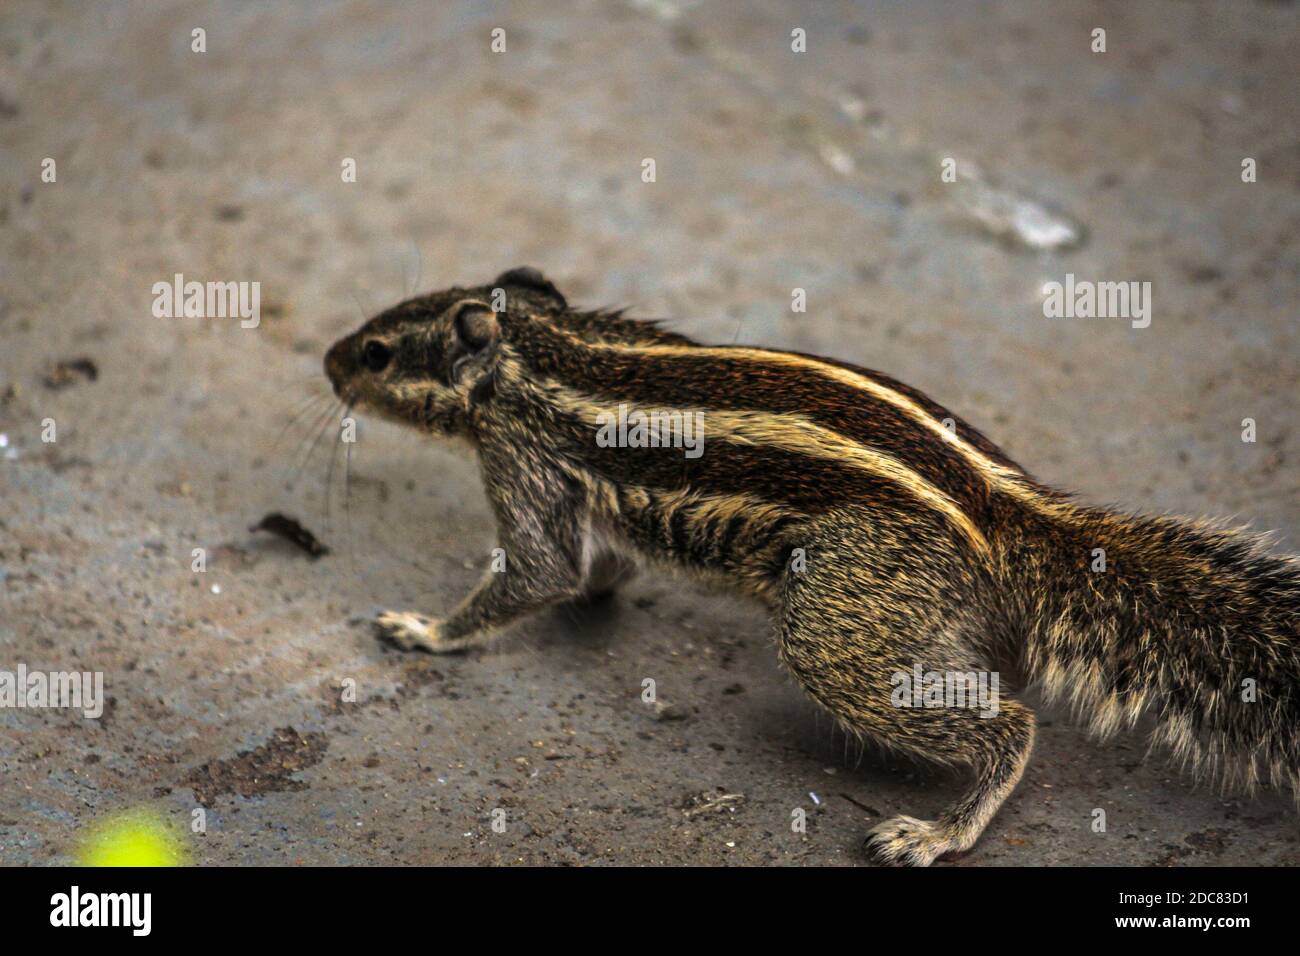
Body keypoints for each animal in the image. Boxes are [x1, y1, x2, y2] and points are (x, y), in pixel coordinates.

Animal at [324, 266, 1300, 866]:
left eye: (377, 350)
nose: (329, 363)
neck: (542, 343)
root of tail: (1006, 515)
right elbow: (588, 566)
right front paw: (593, 599)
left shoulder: (518, 455)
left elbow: (534, 571)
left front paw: (424, 630)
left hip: (837, 621)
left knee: (1009, 726)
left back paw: (942, 830)